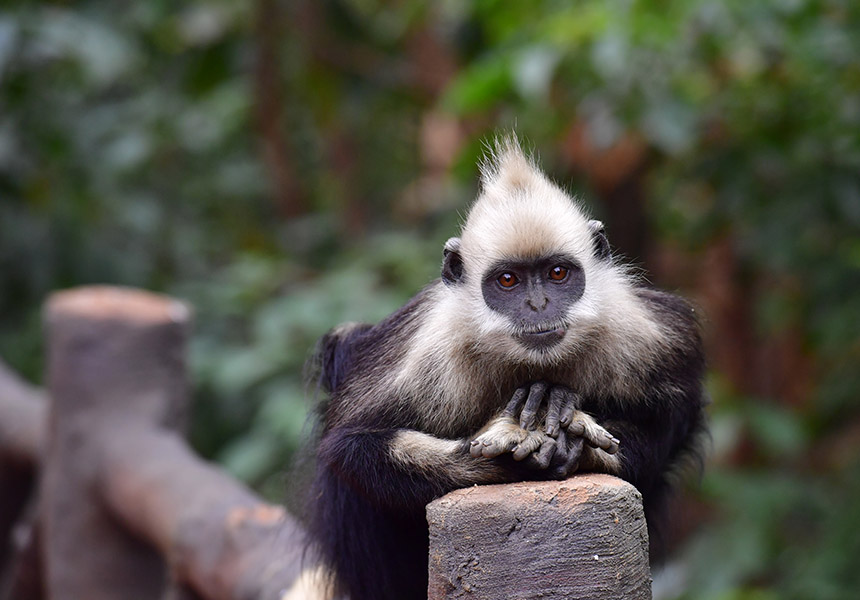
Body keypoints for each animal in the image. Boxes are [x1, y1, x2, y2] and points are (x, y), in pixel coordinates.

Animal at [300, 138, 704, 596]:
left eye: (557, 273)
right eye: (508, 280)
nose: (538, 305)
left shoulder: (650, 335)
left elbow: (673, 416)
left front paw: (575, 443)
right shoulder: (422, 355)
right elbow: (350, 446)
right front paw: (510, 440)